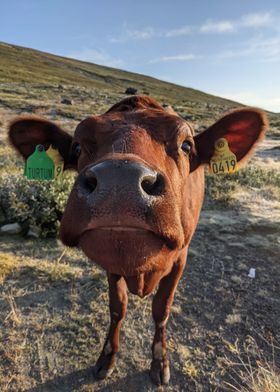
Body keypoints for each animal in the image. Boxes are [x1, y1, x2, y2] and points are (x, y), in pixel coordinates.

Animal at [8, 96, 266, 384]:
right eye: (77, 146)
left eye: (186, 145)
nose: (119, 181)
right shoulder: (112, 264)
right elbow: (117, 307)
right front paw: (107, 357)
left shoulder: (181, 257)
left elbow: (161, 309)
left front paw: (160, 362)